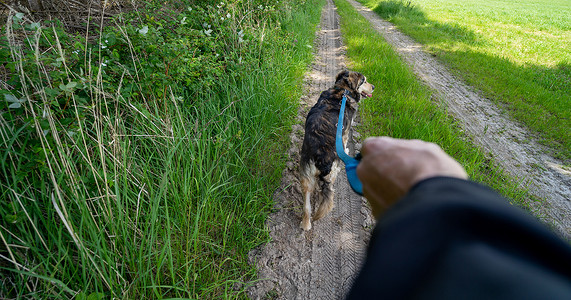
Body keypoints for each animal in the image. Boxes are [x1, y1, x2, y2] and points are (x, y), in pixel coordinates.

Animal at [300, 69, 376, 230]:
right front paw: (346, 151)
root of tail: (320, 157)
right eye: (364, 81)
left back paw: (306, 224)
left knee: (307, 206)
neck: (342, 91)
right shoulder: (346, 131)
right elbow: (346, 142)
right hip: (331, 171)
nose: (373, 87)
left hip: (306, 174)